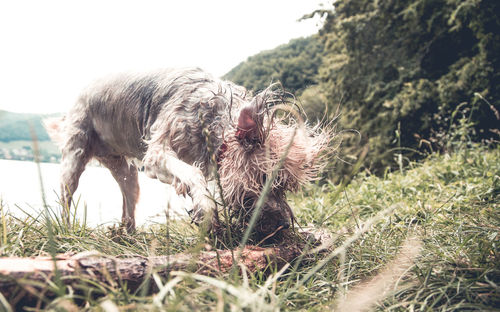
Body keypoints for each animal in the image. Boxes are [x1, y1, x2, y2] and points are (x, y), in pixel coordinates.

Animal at [45, 68, 330, 238]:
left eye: (285, 188)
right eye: (264, 180)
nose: (282, 225)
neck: (217, 117)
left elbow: (194, 175)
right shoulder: (157, 155)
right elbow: (192, 175)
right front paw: (206, 211)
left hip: (124, 171)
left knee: (128, 196)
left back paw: (129, 234)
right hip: (75, 153)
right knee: (66, 195)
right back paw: (66, 229)